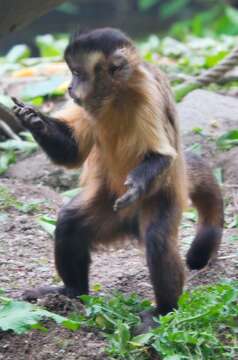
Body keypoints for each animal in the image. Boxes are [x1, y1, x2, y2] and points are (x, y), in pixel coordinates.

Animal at [11, 28, 223, 332]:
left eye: (78, 73)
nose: (70, 88)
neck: (116, 96)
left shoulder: (146, 93)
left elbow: (161, 155)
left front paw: (135, 185)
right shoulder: (88, 105)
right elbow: (71, 153)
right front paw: (33, 120)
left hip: (163, 197)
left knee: (158, 240)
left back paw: (164, 311)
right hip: (109, 208)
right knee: (69, 223)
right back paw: (72, 292)